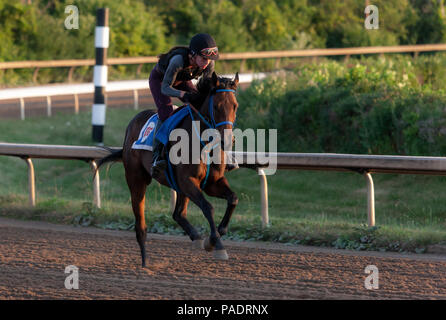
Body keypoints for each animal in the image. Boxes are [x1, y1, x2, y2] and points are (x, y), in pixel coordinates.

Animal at [96, 72, 239, 268]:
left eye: (235, 106)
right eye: (216, 106)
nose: (227, 140)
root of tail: (131, 125)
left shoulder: (212, 182)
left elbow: (233, 198)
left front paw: (213, 237)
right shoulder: (188, 181)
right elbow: (208, 207)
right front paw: (216, 244)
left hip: (178, 186)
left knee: (178, 214)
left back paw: (195, 238)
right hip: (136, 180)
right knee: (141, 224)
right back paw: (144, 264)